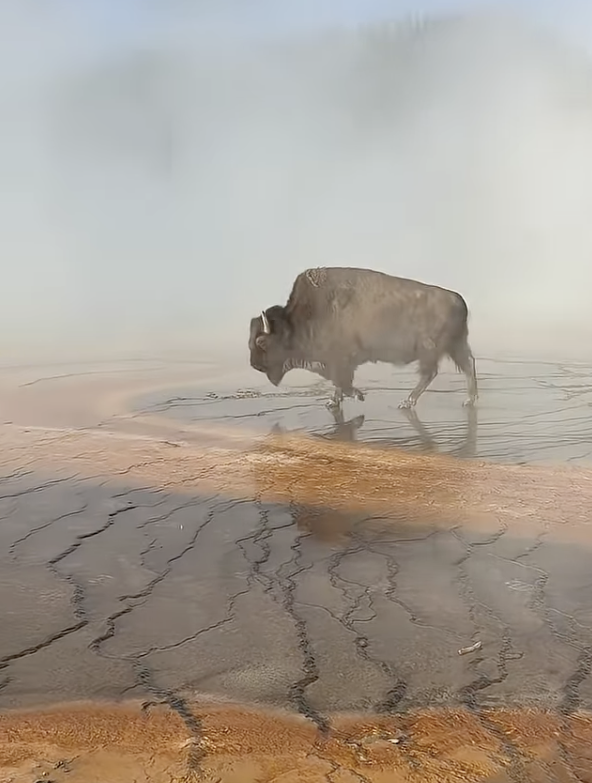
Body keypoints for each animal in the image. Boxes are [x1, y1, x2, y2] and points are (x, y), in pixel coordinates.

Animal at [248, 266, 478, 410]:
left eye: (261, 342)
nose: (254, 365)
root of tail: (459, 300)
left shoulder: (340, 361)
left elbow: (343, 382)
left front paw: (359, 395)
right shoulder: (335, 363)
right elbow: (338, 384)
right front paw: (333, 402)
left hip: (430, 350)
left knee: (430, 373)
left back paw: (407, 402)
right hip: (455, 346)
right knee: (467, 364)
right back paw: (469, 399)